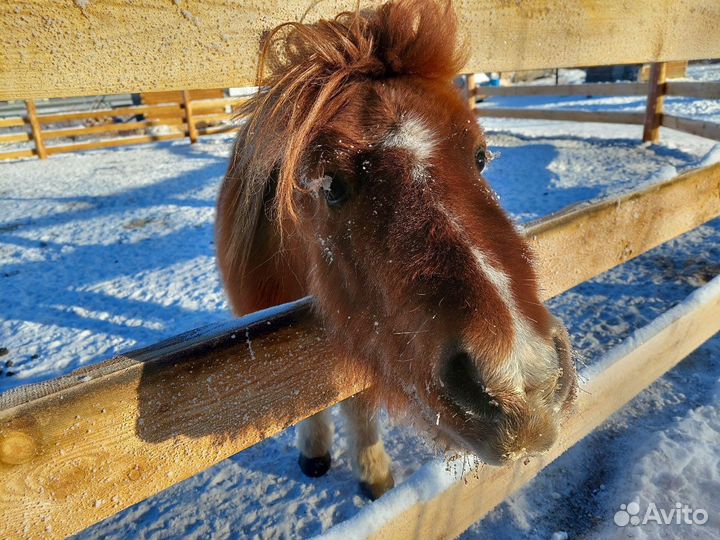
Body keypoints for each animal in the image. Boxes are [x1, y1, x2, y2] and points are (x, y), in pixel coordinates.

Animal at [217, 0, 576, 500]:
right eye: (331, 185)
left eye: (480, 156)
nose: (523, 383)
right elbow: (313, 406)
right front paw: (316, 453)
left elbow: (359, 408)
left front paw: (373, 473)